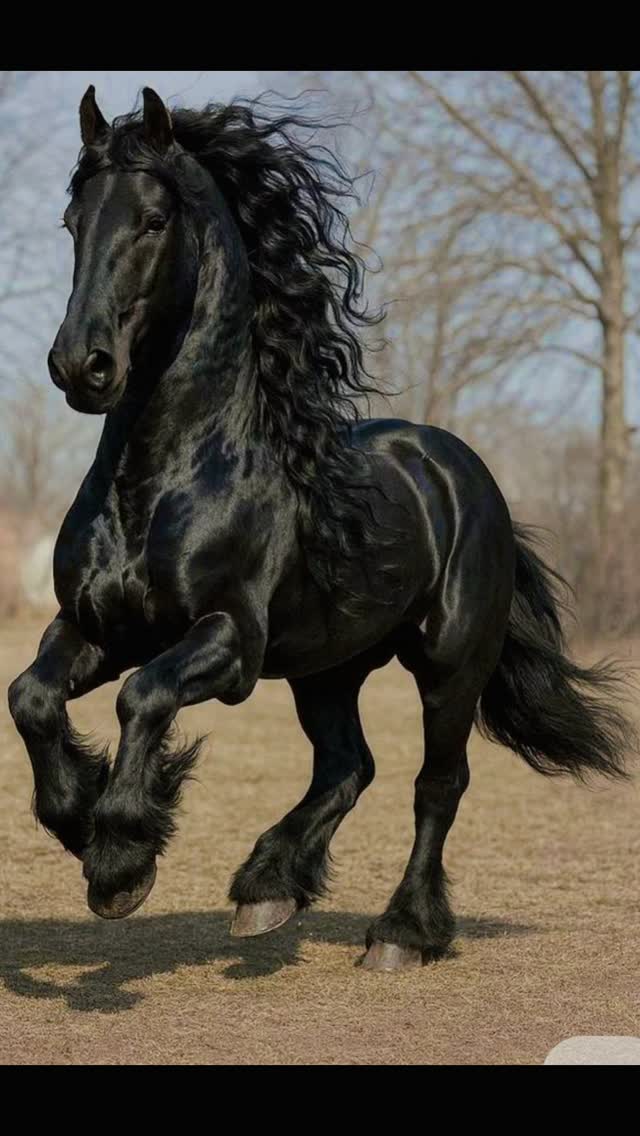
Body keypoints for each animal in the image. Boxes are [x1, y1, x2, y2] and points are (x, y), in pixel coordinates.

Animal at [8, 86, 635, 972]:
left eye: (154, 220)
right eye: (73, 220)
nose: (81, 366)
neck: (163, 482)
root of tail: (462, 471)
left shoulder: (229, 641)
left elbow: (143, 695)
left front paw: (123, 858)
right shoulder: (97, 626)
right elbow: (29, 697)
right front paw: (83, 826)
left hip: (449, 665)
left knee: (436, 785)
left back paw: (401, 933)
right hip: (327, 667)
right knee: (348, 765)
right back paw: (267, 889)